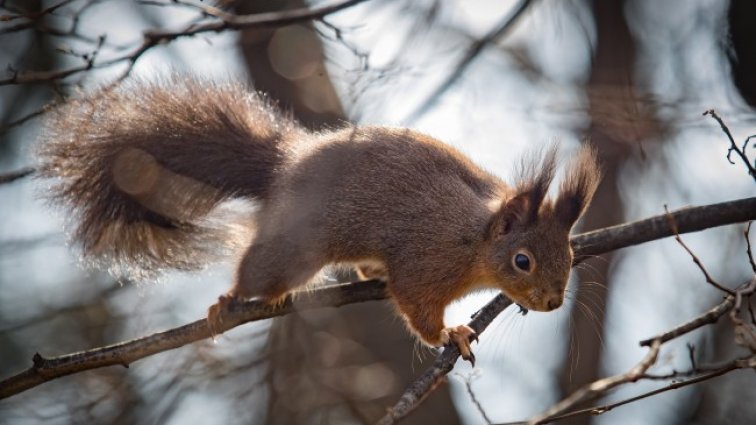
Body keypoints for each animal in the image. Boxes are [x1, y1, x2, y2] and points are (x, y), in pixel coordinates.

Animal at [37, 74, 604, 362]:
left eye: (569, 252)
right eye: (523, 260)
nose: (553, 302)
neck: (473, 240)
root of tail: (284, 166)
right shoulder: (424, 262)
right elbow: (416, 307)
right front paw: (449, 335)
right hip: (294, 249)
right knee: (260, 272)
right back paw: (227, 301)